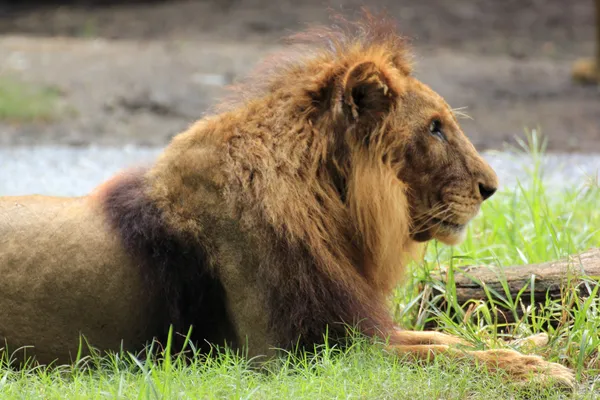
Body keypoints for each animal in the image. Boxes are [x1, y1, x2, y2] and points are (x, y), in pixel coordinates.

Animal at [0, 9, 576, 390]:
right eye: (434, 128)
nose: (492, 187)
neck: (330, 209)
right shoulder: (303, 355)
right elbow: (445, 357)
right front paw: (538, 369)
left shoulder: (349, 326)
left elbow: (445, 342)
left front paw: (534, 345)